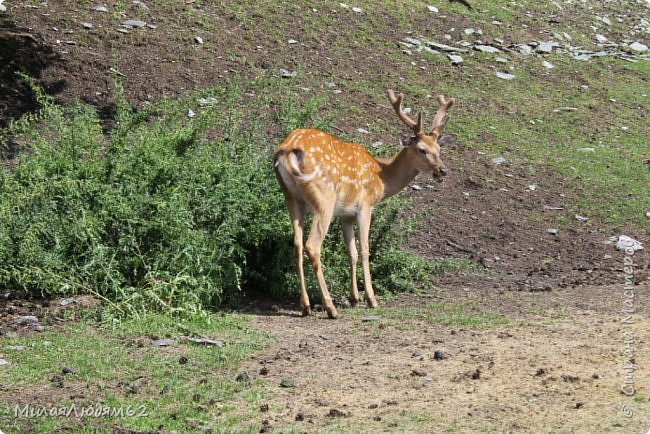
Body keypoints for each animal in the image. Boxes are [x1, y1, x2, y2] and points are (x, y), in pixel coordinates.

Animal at [270, 89, 454, 318]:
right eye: (421, 149)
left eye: (438, 148)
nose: (442, 170)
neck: (381, 178)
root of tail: (287, 150)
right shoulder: (365, 206)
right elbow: (365, 249)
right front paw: (371, 299)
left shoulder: (345, 214)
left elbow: (352, 252)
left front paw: (354, 298)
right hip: (323, 198)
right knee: (312, 245)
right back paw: (330, 307)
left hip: (291, 197)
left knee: (296, 244)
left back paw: (306, 306)